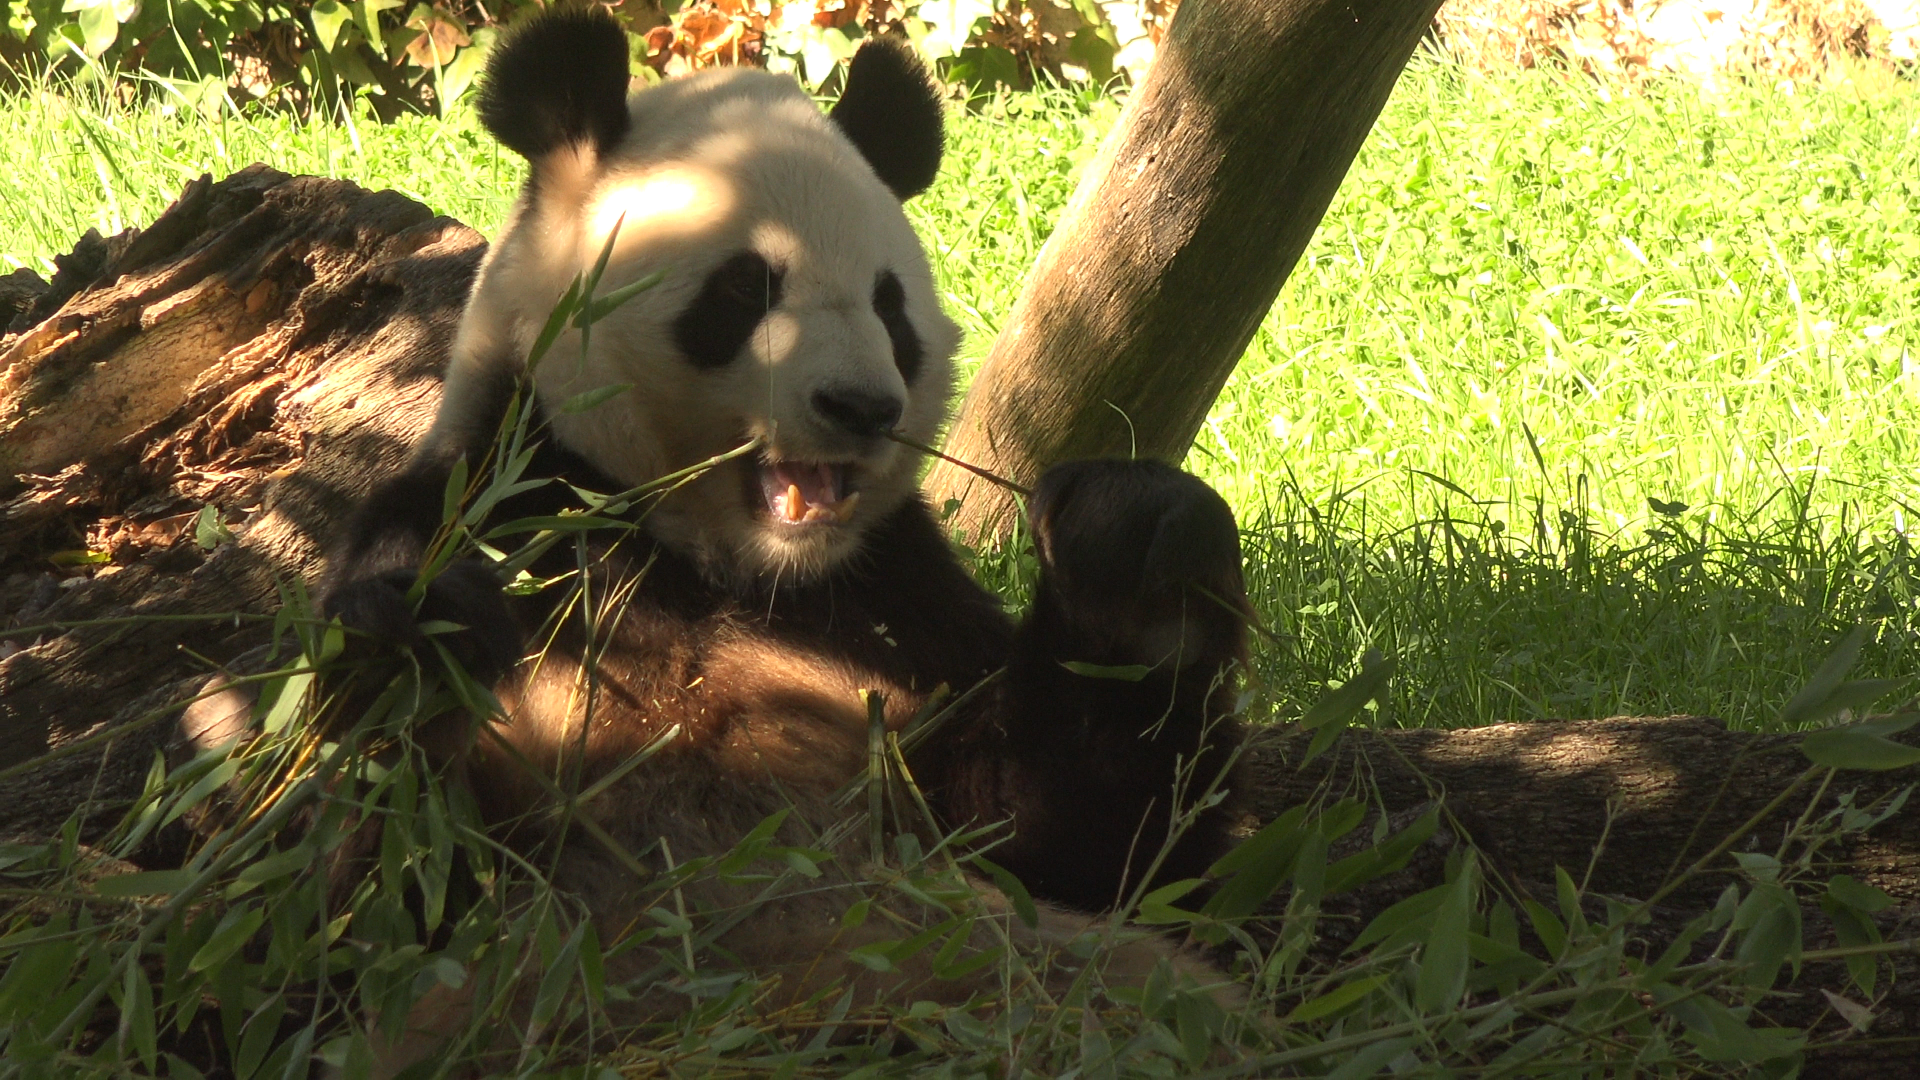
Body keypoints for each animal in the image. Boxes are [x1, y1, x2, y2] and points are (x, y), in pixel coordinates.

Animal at [318, 5, 1251, 1051]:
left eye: (891, 306)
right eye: (742, 289)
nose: (862, 407)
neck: (725, 564)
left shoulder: (896, 601)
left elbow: (1076, 844)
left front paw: (1134, 557)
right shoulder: (499, 506)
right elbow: (391, 871)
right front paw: (422, 633)